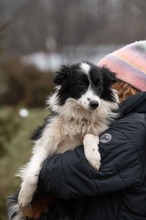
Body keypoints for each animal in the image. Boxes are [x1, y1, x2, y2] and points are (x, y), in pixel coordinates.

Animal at [7, 61, 118, 219]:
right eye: (80, 84)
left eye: (99, 85)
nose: (95, 104)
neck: (80, 117)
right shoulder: (45, 140)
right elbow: (33, 171)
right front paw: (25, 196)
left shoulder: (99, 129)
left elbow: (89, 135)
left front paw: (94, 158)